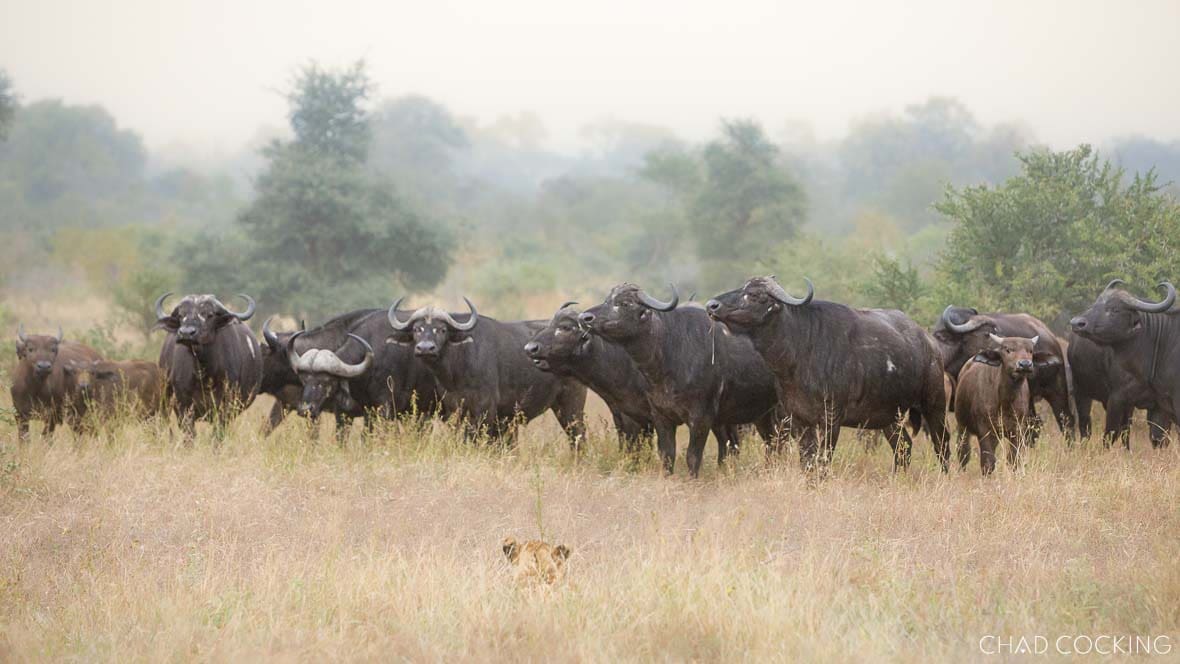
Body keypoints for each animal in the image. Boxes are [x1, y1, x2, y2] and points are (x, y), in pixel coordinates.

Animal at [155, 293, 263, 438]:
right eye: (181, 315)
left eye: (209, 314)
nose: (186, 333)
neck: (203, 373)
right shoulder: (182, 405)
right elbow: (190, 434)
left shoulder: (226, 406)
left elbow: (218, 434)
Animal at [387, 298, 587, 445]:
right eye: (416, 329)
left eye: (442, 329)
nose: (425, 348)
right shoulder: (455, 410)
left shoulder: (484, 410)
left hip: (571, 404)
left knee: (578, 435)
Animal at [579, 284, 782, 477]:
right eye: (607, 299)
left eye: (624, 303)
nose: (584, 317)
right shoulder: (661, 416)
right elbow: (667, 455)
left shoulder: (700, 418)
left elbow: (693, 456)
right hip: (760, 414)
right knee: (766, 442)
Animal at [707, 277, 950, 472]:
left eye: (755, 294)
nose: (712, 305)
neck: (800, 353)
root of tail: (930, 343)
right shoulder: (799, 419)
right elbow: (807, 461)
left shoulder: (831, 418)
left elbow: (822, 460)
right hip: (889, 416)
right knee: (903, 446)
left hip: (934, 404)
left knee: (942, 443)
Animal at [1069, 280, 1178, 448]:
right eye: (1095, 304)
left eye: (1115, 309)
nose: (1077, 323)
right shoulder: (1117, 398)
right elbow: (1110, 435)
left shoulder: (1160, 406)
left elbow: (1158, 439)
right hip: (1082, 391)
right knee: (1086, 425)